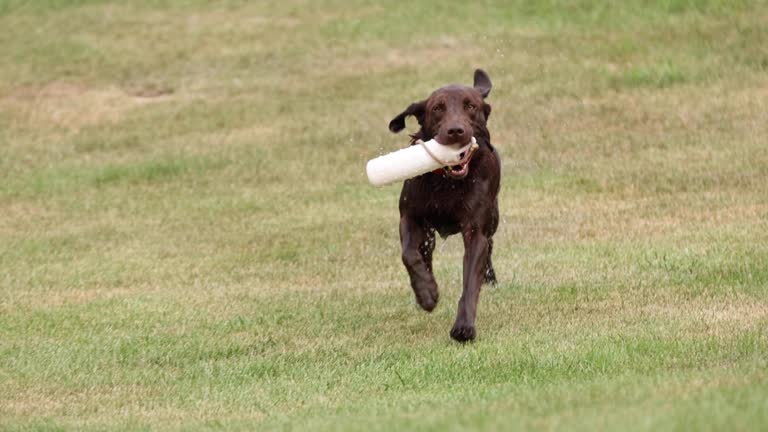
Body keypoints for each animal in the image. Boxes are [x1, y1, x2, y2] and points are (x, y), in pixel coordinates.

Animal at [388, 69, 500, 342]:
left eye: (470, 106)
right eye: (438, 108)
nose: (456, 131)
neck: (447, 183)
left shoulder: (475, 230)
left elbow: (470, 281)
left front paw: (464, 328)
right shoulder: (410, 216)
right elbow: (409, 255)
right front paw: (427, 293)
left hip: (494, 216)